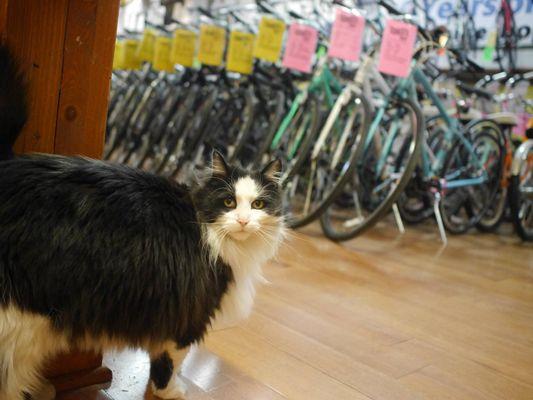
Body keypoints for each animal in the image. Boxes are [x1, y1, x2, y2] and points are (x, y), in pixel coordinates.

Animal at [0, 45, 284, 398]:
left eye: (258, 204)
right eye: (229, 202)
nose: (244, 220)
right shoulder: (187, 319)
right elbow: (168, 365)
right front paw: (169, 392)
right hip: (21, 324)